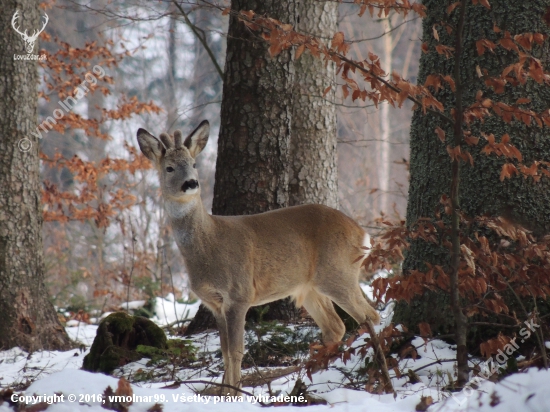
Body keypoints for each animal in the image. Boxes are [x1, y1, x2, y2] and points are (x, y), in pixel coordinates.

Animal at [136, 120, 382, 394]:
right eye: (169, 168)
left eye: (194, 164)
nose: (190, 183)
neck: (208, 245)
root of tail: (363, 235)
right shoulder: (215, 303)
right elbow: (225, 351)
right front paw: (224, 392)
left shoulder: (239, 293)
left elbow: (236, 351)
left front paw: (234, 393)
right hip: (309, 287)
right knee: (336, 326)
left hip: (337, 273)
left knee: (371, 316)